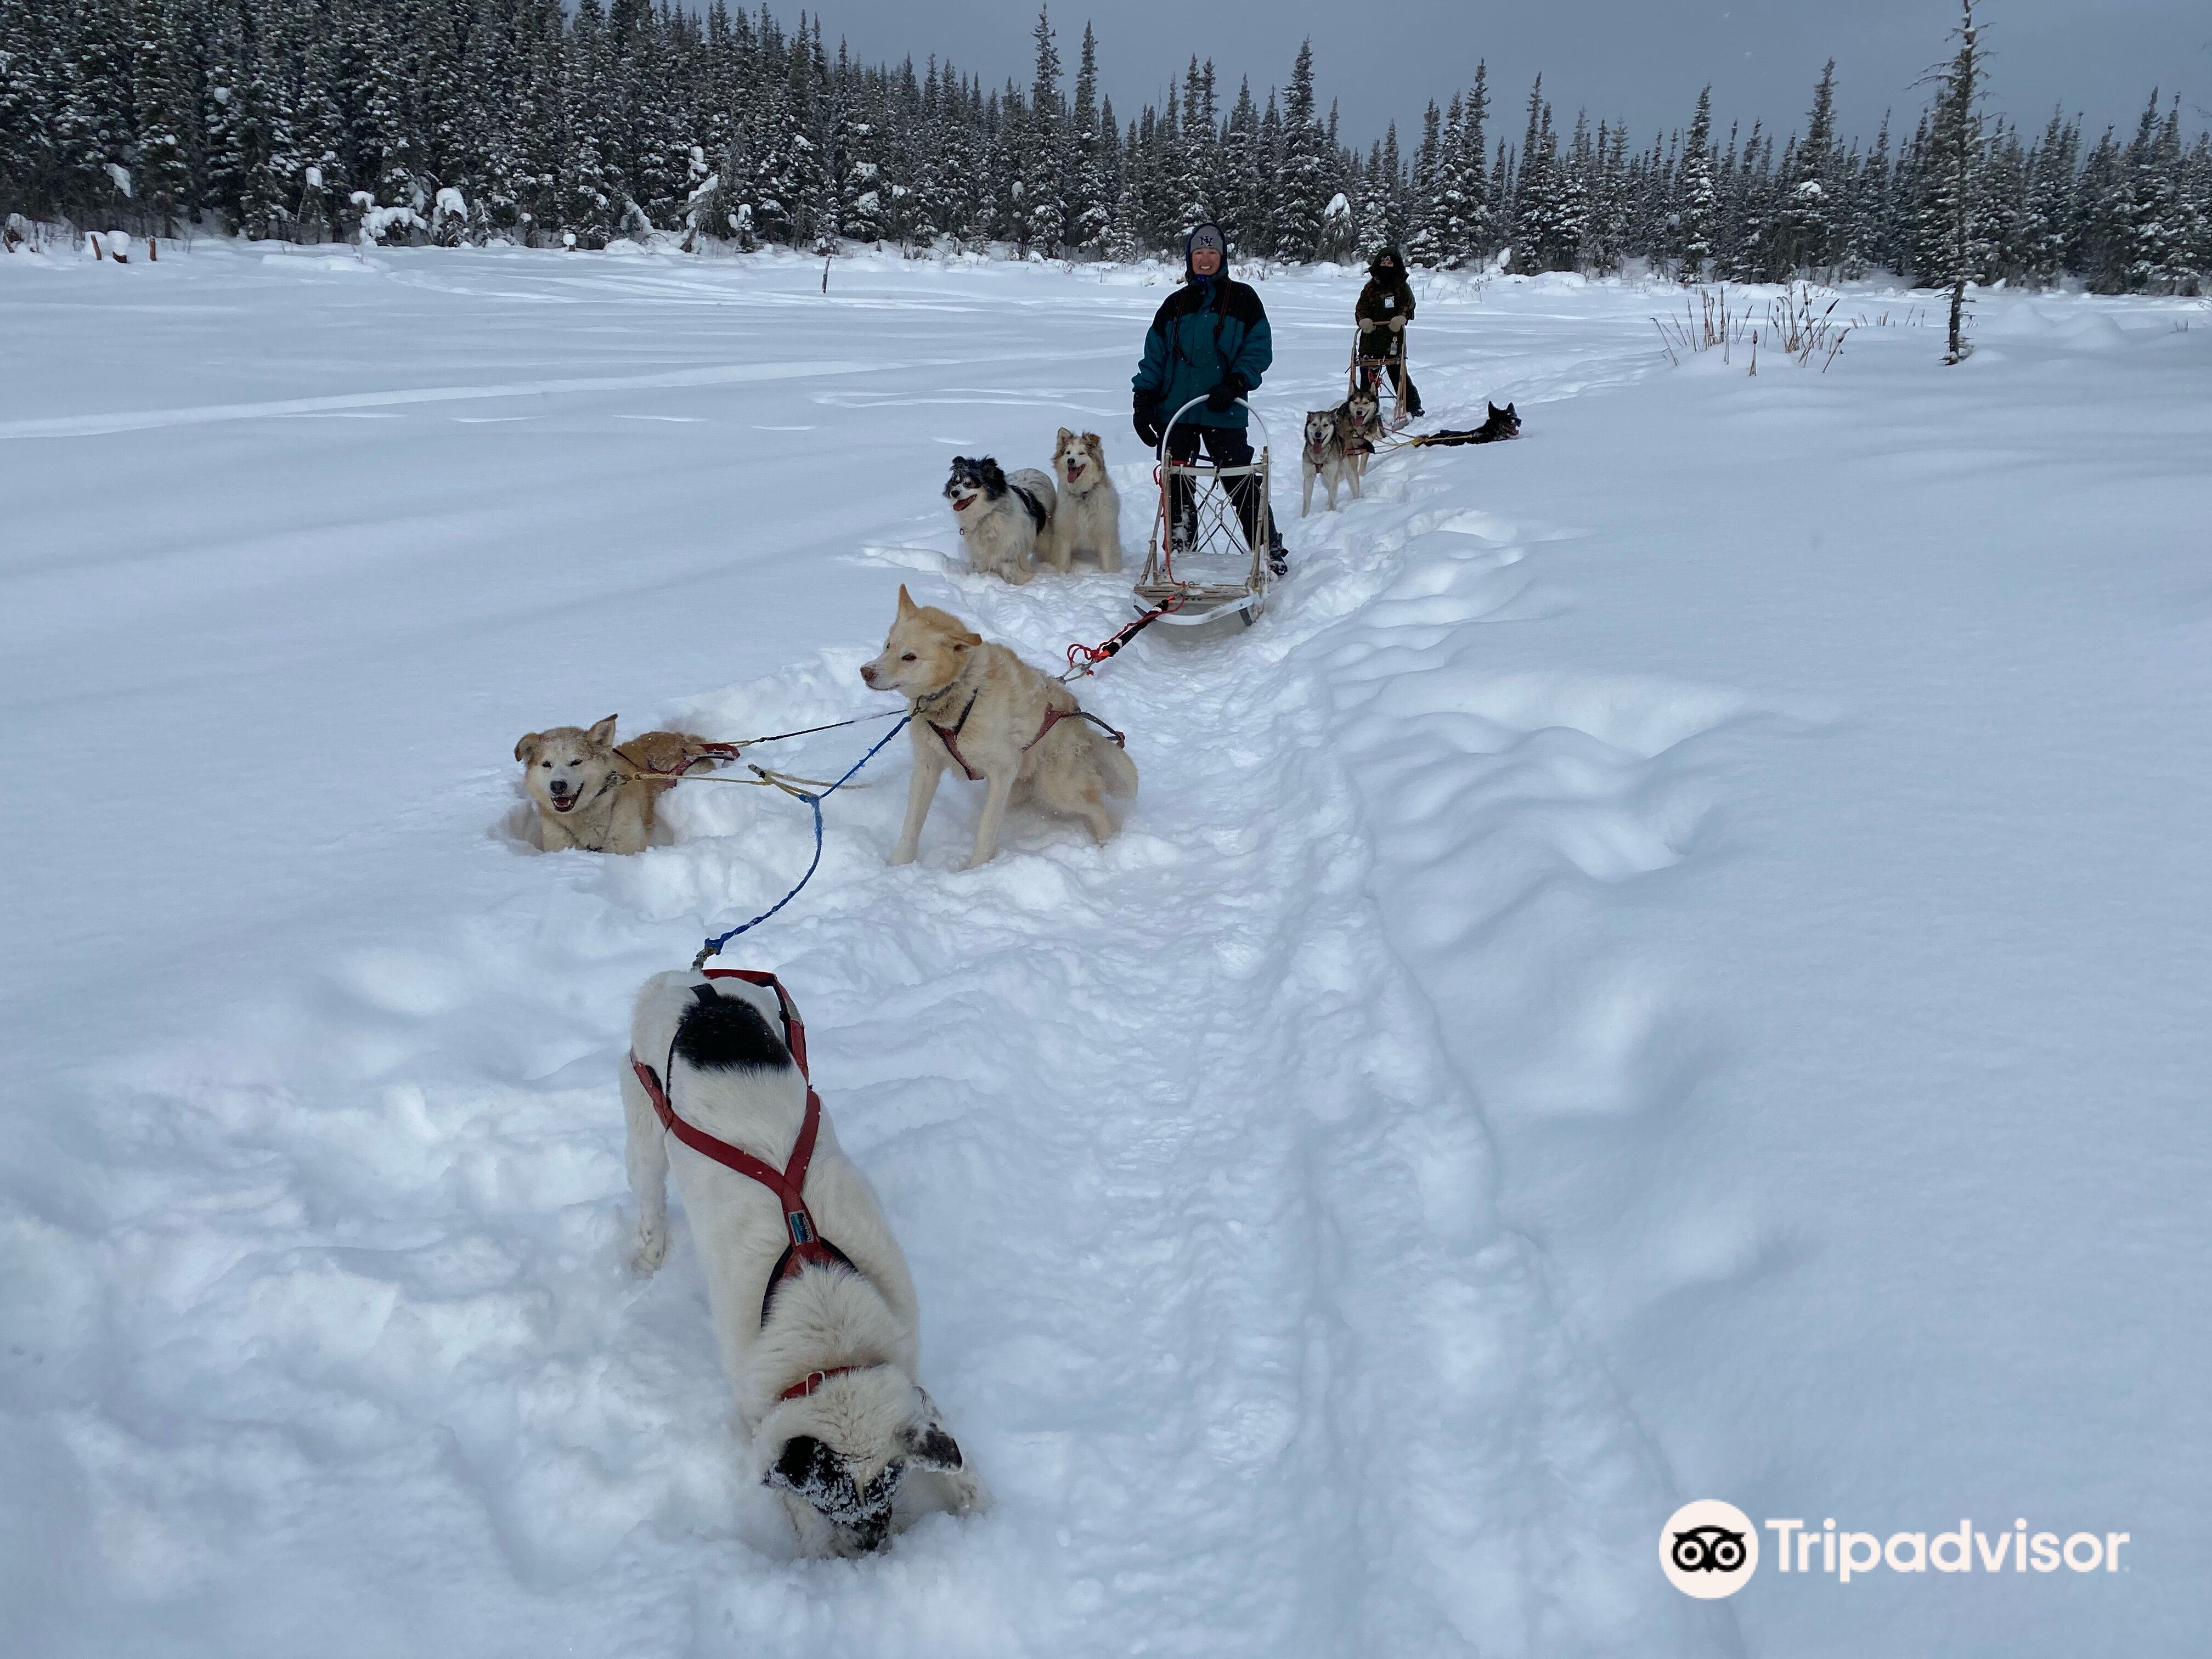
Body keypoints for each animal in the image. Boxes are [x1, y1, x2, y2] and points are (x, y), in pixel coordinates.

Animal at [624, 973, 986, 1557]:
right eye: (830, 1502)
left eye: (892, 1486)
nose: (872, 1550)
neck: (826, 1320)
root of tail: (693, 983)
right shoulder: (757, 1401)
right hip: (643, 1129)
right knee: (649, 1196)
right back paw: (649, 1256)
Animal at [858, 584, 1141, 871]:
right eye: (888, 646)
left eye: (910, 657)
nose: (865, 671)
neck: (959, 696)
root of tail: (1081, 723)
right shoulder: (927, 767)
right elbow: (911, 826)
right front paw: (898, 865)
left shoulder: (1003, 771)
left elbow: (985, 831)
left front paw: (976, 871)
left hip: (1056, 787)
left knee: (1096, 806)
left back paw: (1108, 842)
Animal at [942, 455, 1053, 584]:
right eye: (956, 482)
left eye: (970, 484)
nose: (954, 493)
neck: (987, 514)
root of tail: (1032, 469)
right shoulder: (979, 550)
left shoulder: (1009, 545)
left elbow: (1009, 569)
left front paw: (1019, 581)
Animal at [1040, 425, 1124, 575]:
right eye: (1068, 453)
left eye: (1081, 453)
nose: (1070, 461)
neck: (1082, 494)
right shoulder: (1065, 531)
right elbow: (1064, 559)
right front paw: (1063, 574)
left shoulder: (1105, 532)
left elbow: (1107, 560)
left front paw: (1108, 575)